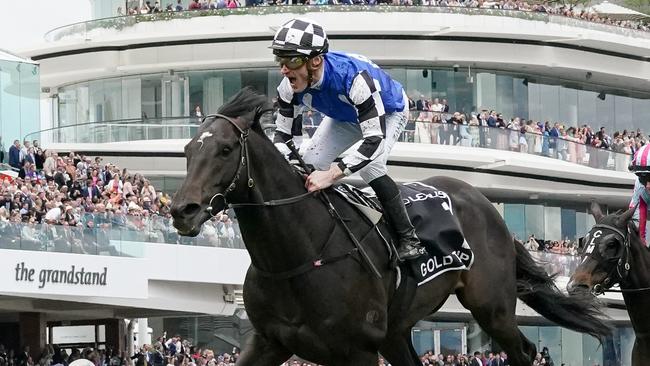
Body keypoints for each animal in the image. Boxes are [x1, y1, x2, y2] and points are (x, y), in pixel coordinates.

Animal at [170, 88, 612, 366]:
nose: (182, 210)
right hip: (398, 330)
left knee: (523, 351)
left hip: (493, 307)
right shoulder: (270, 341)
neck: (298, 255)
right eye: (189, 149)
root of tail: (484, 203)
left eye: (226, 149)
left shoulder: (357, 350)